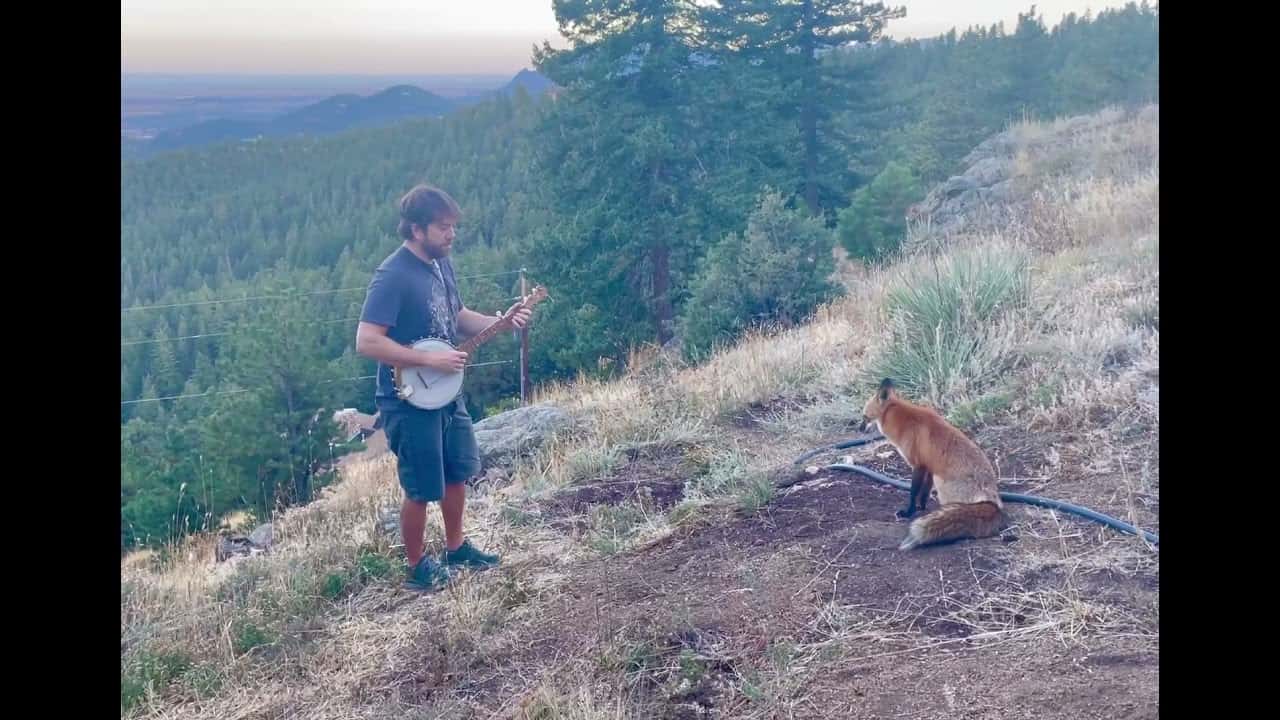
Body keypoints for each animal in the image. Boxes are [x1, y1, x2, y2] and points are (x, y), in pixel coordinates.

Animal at [859, 378, 1008, 550]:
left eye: (864, 416)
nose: (859, 428)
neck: (902, 419)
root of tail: (992, 501)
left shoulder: (918, 464)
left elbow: (913, 492)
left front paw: (909, 512)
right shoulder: (929, 466)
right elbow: (924, 492)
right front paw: (922, 508)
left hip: (941, 482)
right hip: (938, 477)